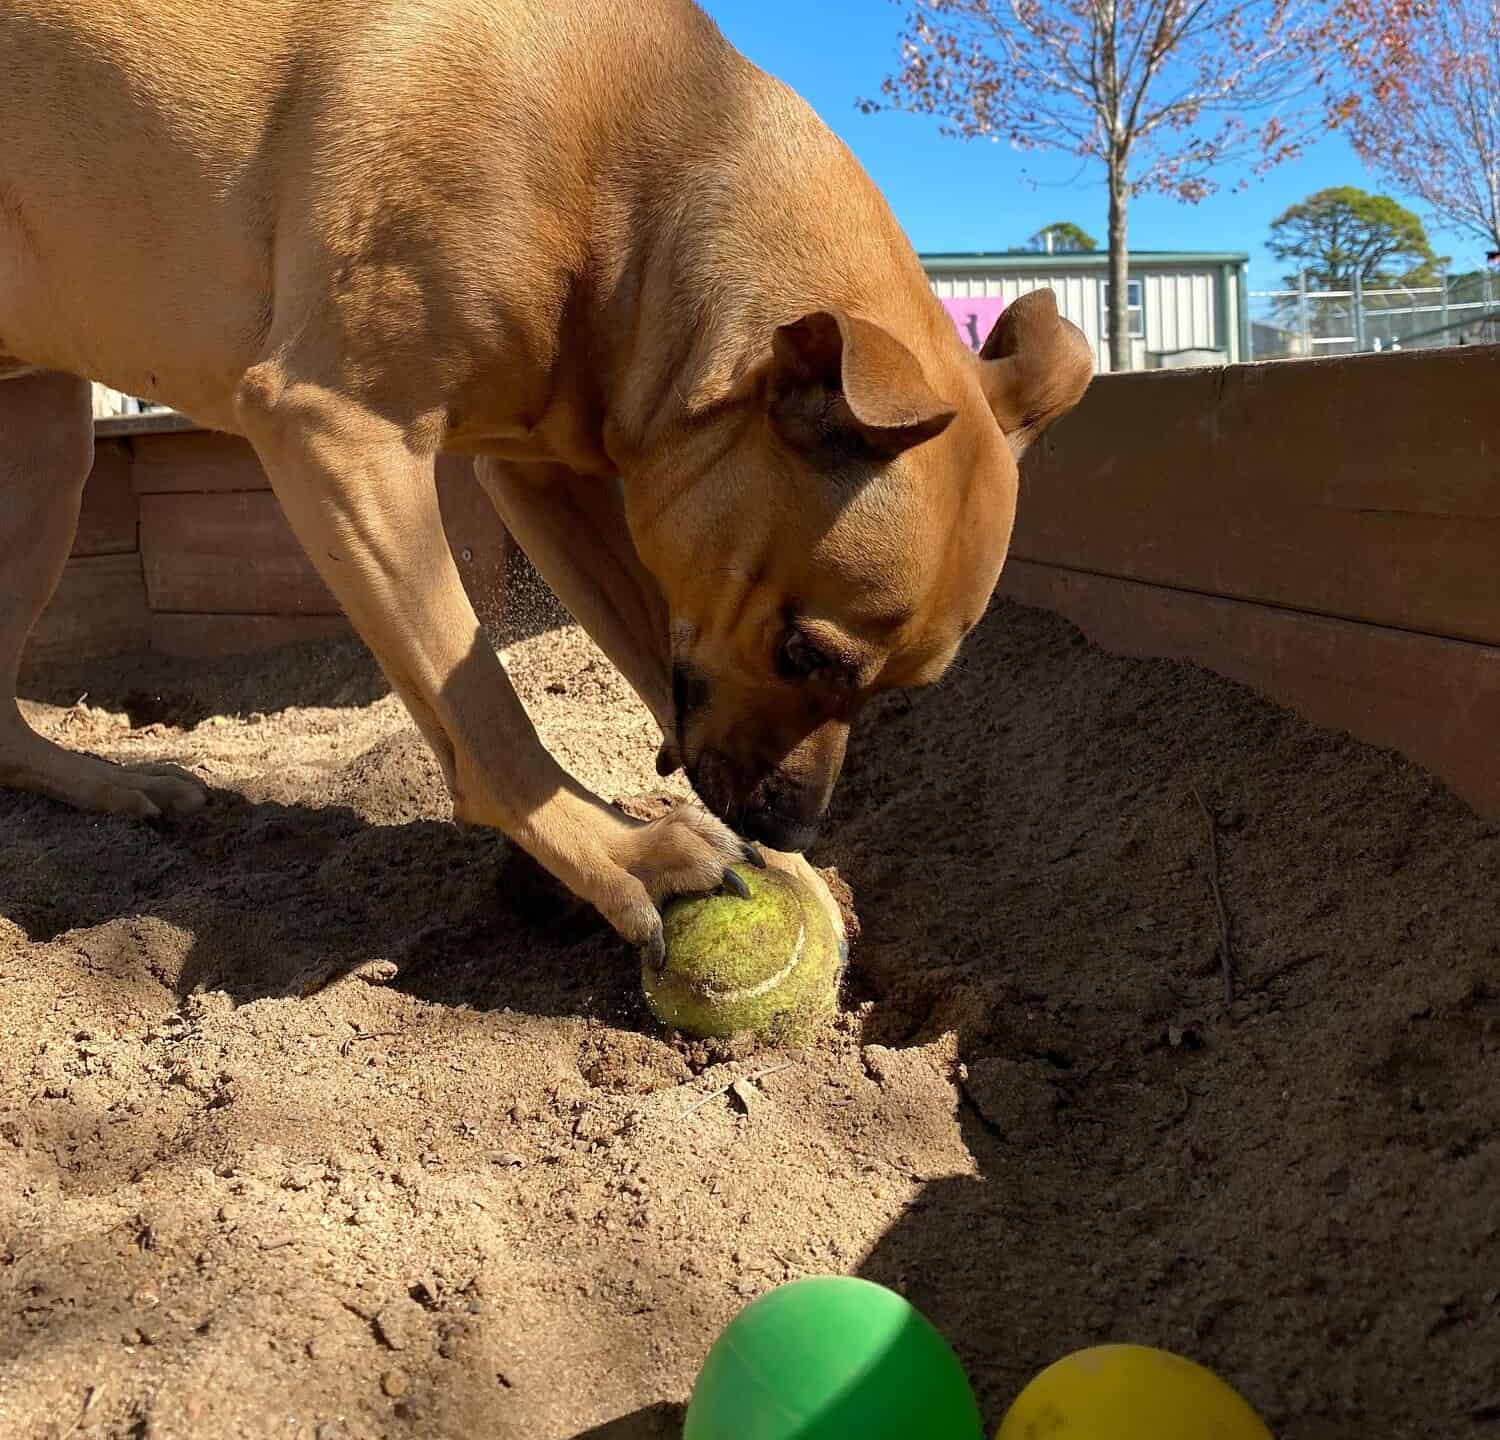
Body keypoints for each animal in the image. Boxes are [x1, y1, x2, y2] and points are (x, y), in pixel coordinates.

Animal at [0, 2, 1092, 966]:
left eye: (905, 691)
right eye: (805, 654)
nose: (797, 827)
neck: (639, 162)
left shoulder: (562, 483)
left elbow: (648, 655)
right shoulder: (340, 436)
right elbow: (485, 709)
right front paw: (623, 852)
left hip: (46, 454)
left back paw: (102, 783)